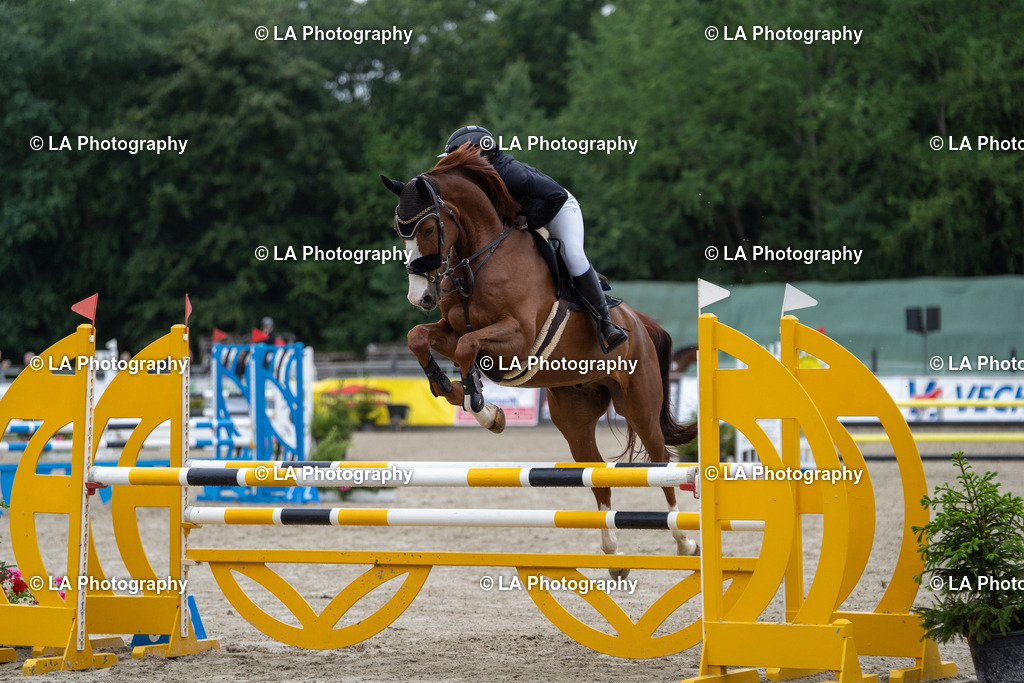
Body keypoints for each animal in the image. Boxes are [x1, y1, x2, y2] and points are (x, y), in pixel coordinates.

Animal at [380, 145, 699, 572]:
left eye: (428, 229)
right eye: (400, 232)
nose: (421, 297)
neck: (480, 258)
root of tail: (640, 323)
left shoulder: (516, 339)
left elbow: (467, 350)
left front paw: (481, 405)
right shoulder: (451, 329)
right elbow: (420, 337)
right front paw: (454, 391)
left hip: (639, 405)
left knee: (662, 460)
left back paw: (684, 541)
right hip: (575, 418)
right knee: (595, 469)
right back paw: (613, 553)